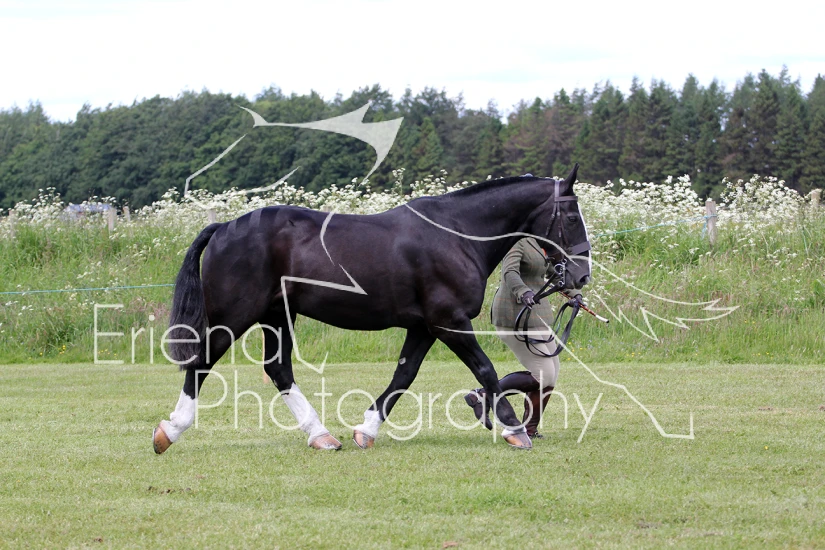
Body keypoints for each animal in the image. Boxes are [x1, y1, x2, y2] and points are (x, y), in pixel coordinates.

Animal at [152, 164, 591, 453]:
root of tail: (224, 227)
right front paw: (514, 429)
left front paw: (367, 429)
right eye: (571, 216)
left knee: (277, 369)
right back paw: (169, 431)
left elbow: (404, 376)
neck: (457, 235)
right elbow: (485, 369)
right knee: (202, 364)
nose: (581, 276)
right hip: (235, 315)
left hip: (277, 316)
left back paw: (321, 436)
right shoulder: (448, 321)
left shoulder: (424, 327)